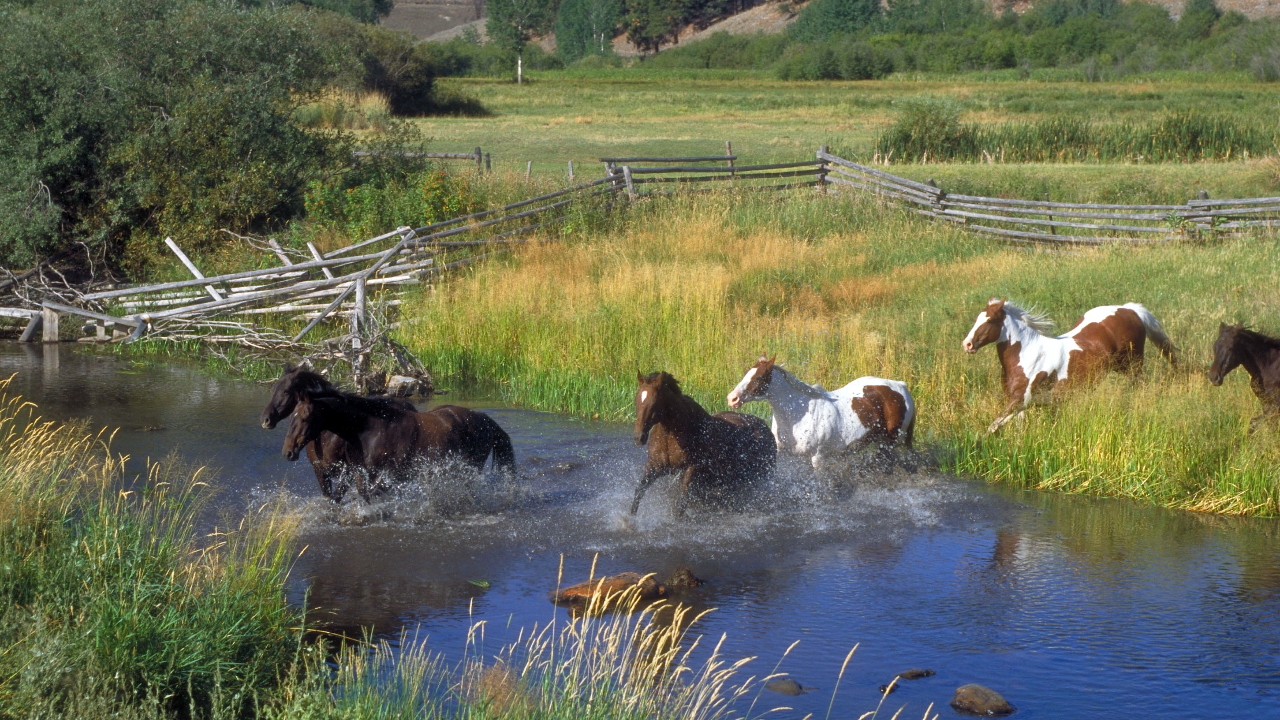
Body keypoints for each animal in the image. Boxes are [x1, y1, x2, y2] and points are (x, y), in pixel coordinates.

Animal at [259, 363, 414, 499]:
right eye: (273, 390)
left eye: (286, 391)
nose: (265, 420)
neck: (327, 437)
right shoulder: (320, 471)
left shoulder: (347, 471)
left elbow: (337, 498)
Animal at [284, 392, 514, 499]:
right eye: (290, 417)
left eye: (304, 418)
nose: (288, 452)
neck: (371, 429)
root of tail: (484, 419)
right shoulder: (360, 472)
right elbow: (360, 493)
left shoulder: (390, 474)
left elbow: (373, 493)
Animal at [627, 368, 768, 515]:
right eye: (636, 402)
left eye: (655, 403)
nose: (639, 437)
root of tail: (765, 427)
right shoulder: (655, 466)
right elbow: (639, 492)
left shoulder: (691, 470)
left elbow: (681, 503)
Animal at [727, 353, 916, 471]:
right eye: (746, 373)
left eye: (759, 377)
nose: (732, 398)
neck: (797, 414)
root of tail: (901, 386)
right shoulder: (785, 455)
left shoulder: (817, 458)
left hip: (889, 443)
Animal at [962, 297, 1177, 430]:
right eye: (976, 318)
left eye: (989, 321)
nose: (967, 344)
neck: (1028, 355)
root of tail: (1131, 309)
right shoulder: (1021, 405)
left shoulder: (1018, 400)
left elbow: (992, 427)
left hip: (1133, 365)